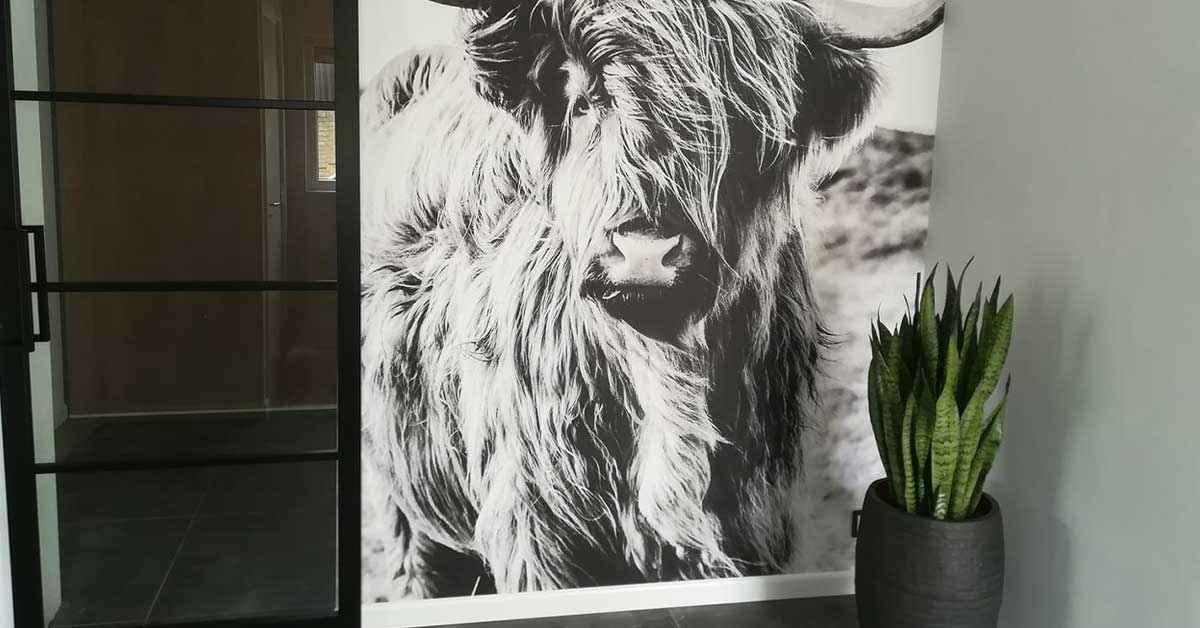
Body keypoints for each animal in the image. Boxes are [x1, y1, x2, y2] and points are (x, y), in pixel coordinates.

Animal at [360, 0, 944, 598]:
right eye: (583, 102)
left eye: (743, 121)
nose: (646, 253)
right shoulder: (534, 531)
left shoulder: (761, 519)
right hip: (402, 500)